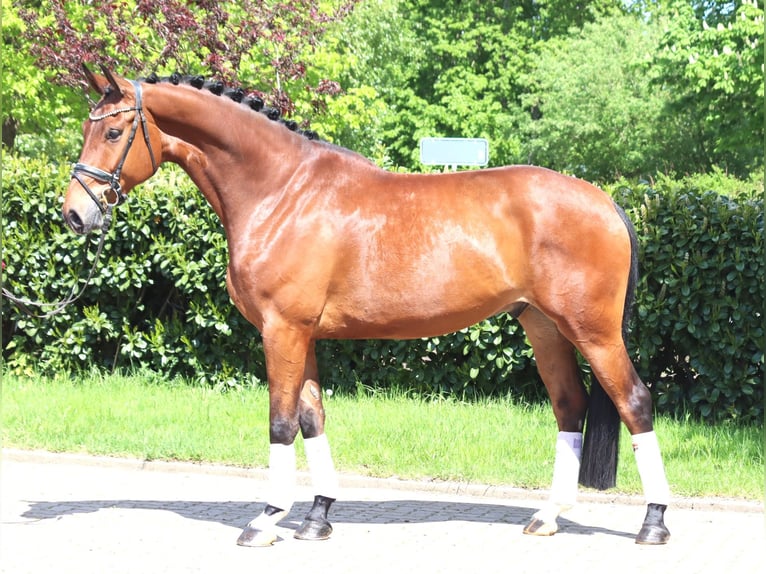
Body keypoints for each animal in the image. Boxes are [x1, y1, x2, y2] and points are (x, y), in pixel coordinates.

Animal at [63, 65, 671, 546]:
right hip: (543, 327)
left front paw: (266, 520)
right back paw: (547, 517)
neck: (281, 191)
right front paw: (316, 518)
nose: (74, 213)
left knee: (635, 403)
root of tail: (605, 200)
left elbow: (281, 422)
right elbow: (312, 419)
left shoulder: (281, 330)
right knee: (568, 407)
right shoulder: (302, 334)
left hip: (593, 331)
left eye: (113, 130)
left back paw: (654, 522)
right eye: (88, 128)